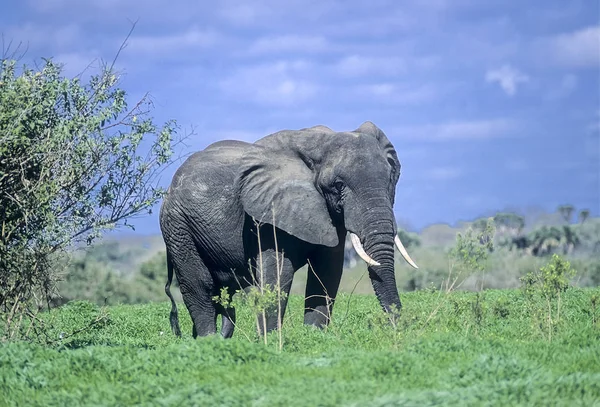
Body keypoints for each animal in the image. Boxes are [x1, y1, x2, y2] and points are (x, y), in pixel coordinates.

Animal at [158, 120, 418, 338]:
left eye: (390, 179)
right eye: (338, 186)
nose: (399, 328)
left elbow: (328, 271)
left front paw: (313, 336)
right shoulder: (268, 212)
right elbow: (278, 274)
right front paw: (271, 340)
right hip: (177, 225)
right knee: (199, 284)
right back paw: (208, 340)